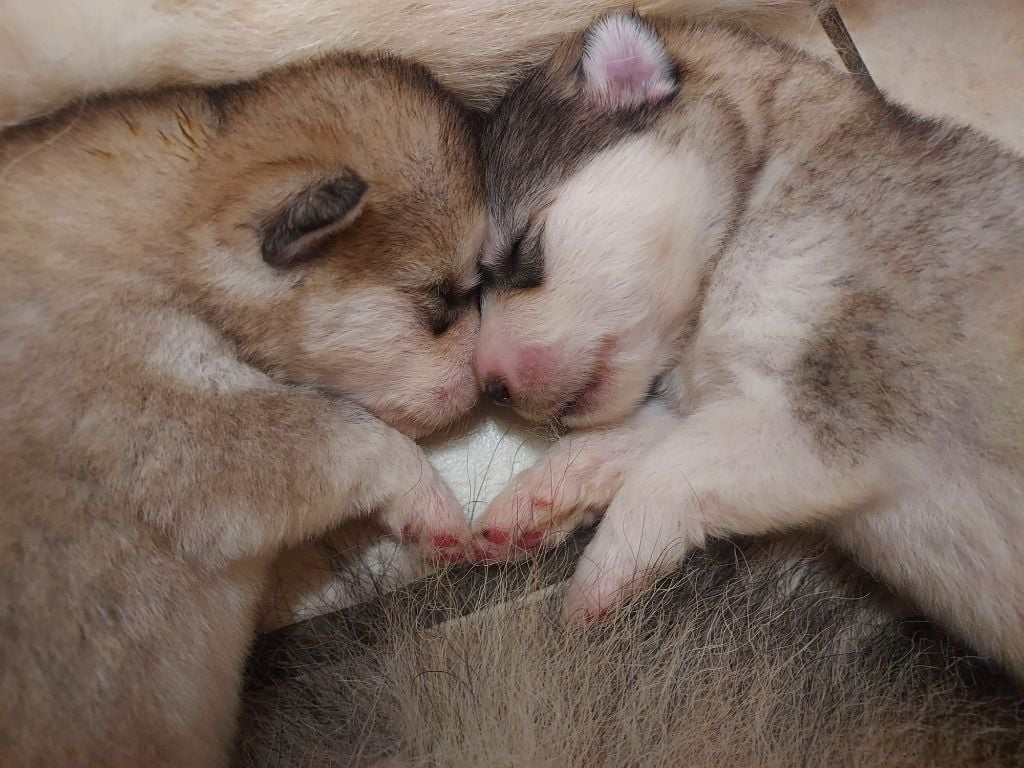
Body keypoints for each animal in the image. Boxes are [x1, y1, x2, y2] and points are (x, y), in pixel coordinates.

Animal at [468, 13, 1024, 679]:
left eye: (520, 252)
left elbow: (661, 474)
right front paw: (538, 497)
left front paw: (601, 576)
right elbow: (629, 443)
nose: (489, 384)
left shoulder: (829, 419)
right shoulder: (729, 408)